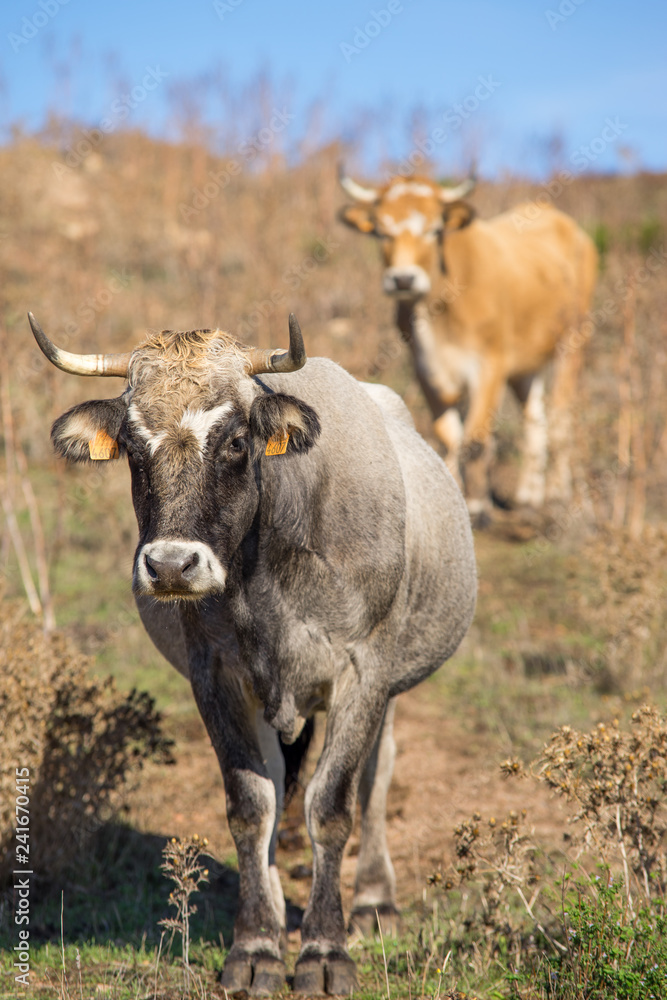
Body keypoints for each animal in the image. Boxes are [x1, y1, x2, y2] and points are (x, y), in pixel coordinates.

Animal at [31, 310, 478, 992]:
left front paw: (324, 951)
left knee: (377, 775)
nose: (171, 565)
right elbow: (250, 807)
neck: (267, 573)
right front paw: (257, 947)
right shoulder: (215, 677)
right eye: (132, 445)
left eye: (237, 441)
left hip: (390, 688)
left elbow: (331, 806)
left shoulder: (364, 674)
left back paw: (374, 900)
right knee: (274, 790)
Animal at [342, 171, 596, 520]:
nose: (403, 280)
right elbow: (448, 438)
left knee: (560, 417)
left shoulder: (490, 367)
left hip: (572, 343)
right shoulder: (426, 371)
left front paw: (477, 505)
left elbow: (475, 439)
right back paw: (529, 496)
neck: (438, 313)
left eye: (435, 230)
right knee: (536, 419)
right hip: (526, 366)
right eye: (382, 232)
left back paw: (557, 494)